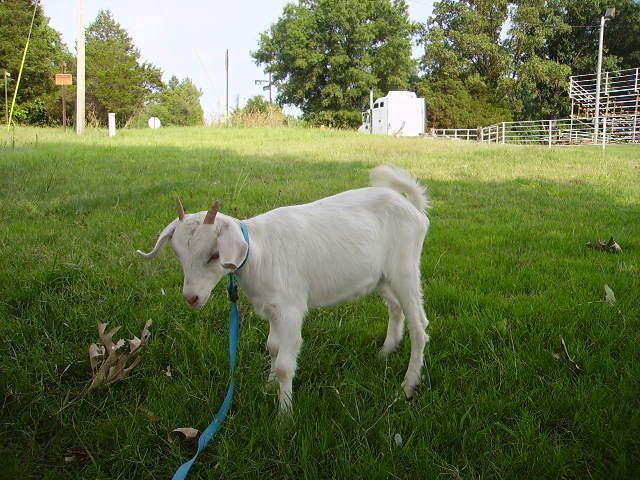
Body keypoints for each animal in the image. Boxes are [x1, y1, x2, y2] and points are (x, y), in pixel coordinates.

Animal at [137, 165, 431, 412]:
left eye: (213, 254)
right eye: (177, 254)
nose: (192, 297)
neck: (258, 251)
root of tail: (413, 209)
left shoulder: (290, 310)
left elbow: (285, 365)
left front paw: (284, 415)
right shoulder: (272, 309)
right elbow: (273, 348)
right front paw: (267, 386)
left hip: (405, 270)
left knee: (420, 327)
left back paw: (408, 385)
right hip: (381, 277)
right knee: (396, 308)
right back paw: (386, 352)